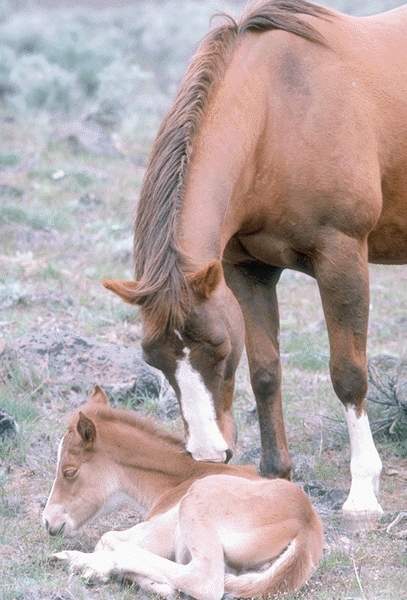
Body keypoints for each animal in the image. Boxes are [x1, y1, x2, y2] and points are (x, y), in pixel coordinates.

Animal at [43, 386, 324, 600]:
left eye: (69, 471)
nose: (48, 521)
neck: (180, 478)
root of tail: (306, 525)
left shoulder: (161, 528)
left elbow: (107, 538)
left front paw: (96, 566)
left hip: (198, 503)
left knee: (204, 581)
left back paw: (83, 562)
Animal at [103, 0, 407, 520]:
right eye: (153, 358)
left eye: (220, 346)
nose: (208, 454)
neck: (277, 113)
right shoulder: (248, 272)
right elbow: (266, 371)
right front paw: (274, 474)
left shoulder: (342, 258)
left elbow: (348, 375)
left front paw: (363, 493)